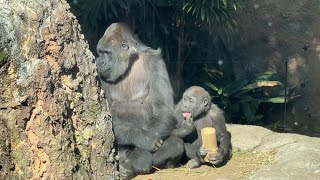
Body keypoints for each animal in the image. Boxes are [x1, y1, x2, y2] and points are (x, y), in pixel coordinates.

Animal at [95, 22, 184, 179]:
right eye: (100, 53)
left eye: (107, 53)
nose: (100, 62)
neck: (129, 63)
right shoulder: (99, 73)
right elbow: (109, 116)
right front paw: (144, 140)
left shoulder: (155, 63)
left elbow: (163, 110)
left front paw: (139, 154)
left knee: (176, 143)